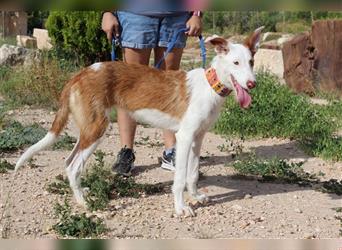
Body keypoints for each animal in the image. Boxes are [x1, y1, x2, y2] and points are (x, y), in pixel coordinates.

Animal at [14, 26, 264, 216]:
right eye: (235, 63)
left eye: (251, 61)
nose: (252, 84)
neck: (210, 86)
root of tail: (79, 74)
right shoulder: (184, 137)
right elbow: (180, 178)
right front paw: (181, 208)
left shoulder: (198, 138)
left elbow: (192, 174)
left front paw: (196, 196)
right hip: (97, 128)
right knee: (74, 165)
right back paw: (84, 203)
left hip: (88, 128)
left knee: (68, 162)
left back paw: (81, 194)